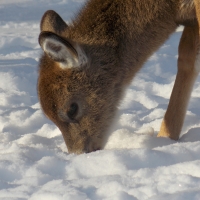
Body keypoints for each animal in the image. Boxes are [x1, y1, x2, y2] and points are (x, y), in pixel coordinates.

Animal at [37, 0, 200, 154]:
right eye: (49, 117)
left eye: (72, 108)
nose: (80, 151)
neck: (170, 8)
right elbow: (187, 57)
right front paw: (166, 137)